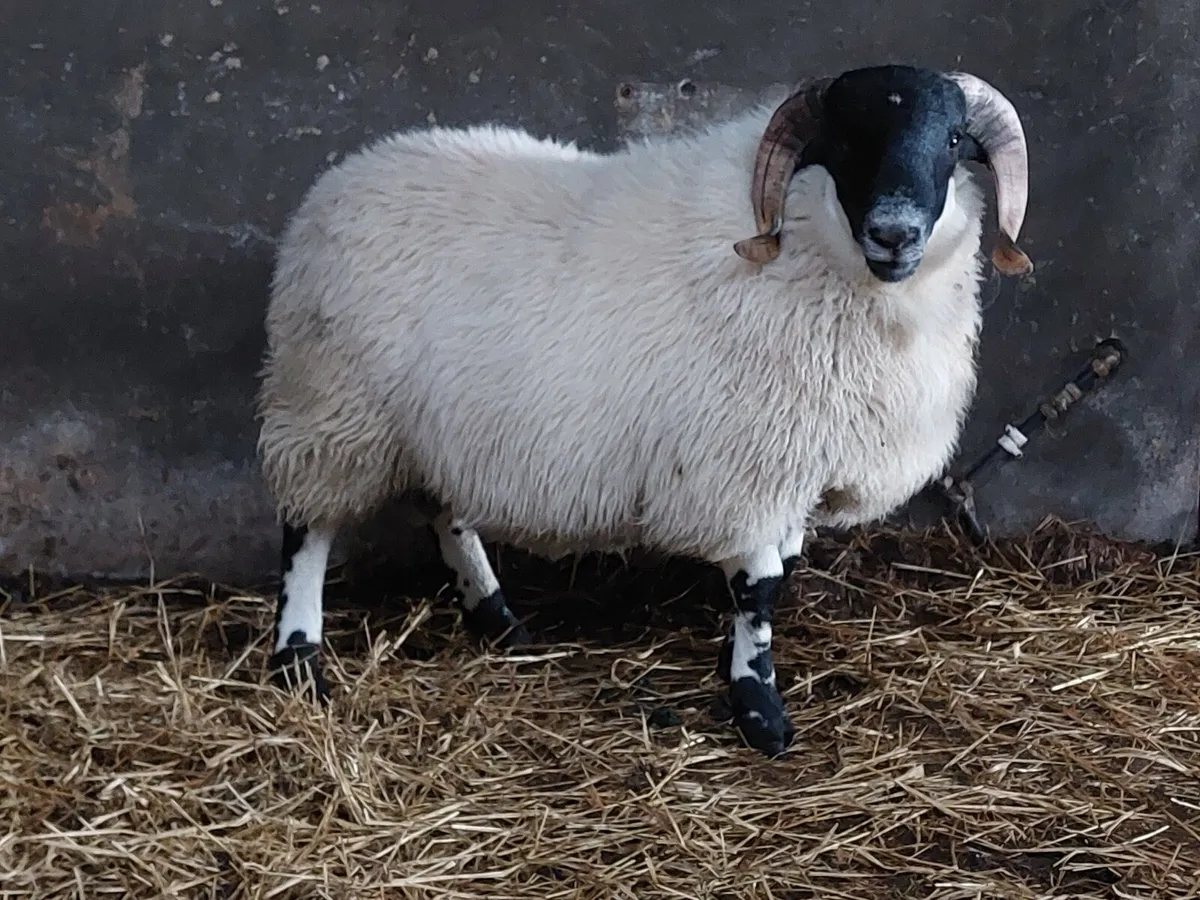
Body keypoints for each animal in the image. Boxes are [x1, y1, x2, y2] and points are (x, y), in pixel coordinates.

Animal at [255, 63, 1032, 758]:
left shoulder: (791, 462)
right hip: (331, 405)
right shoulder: (745, 466)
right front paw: (759, 710)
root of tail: (347, 175)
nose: (894, 234)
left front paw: (740, 676)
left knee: (444, 509)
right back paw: (299, 657)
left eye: (954, 137)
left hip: (433, 422)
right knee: (307, 530)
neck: (799, 249)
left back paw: (498, 618)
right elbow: (763, 587)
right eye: (844, 135)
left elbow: (776, 574)